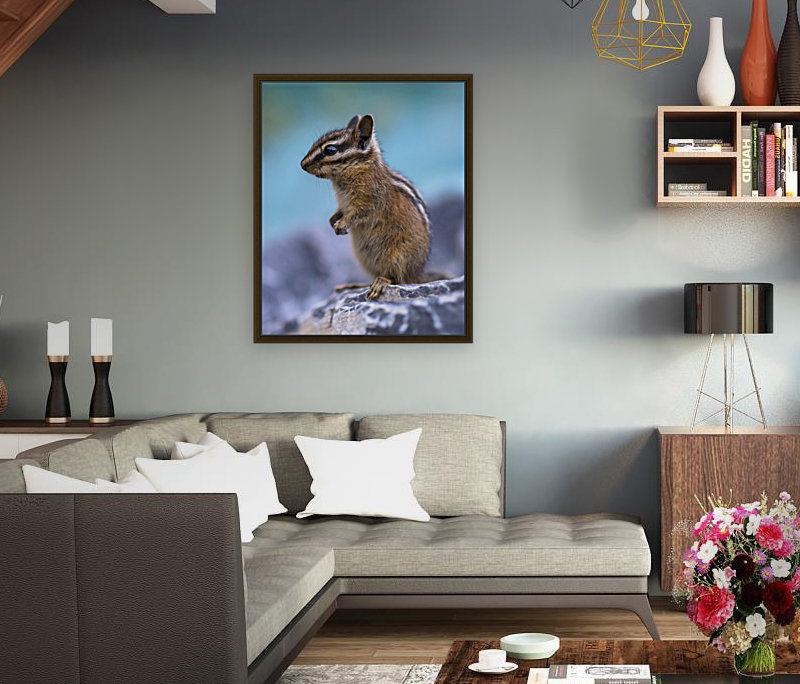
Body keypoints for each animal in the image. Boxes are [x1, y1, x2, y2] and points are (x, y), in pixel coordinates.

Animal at [300, 114, 432, 301]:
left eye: (330, 150)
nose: (302, 164)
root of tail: (417, 274)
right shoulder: (343, 204)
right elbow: (339, 212)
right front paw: (333, 221)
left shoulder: (369, 201)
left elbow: (358, 213)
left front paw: (341, 224)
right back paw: (356, 284)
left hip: (399, 256)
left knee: (396, 278)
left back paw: (380, 282)